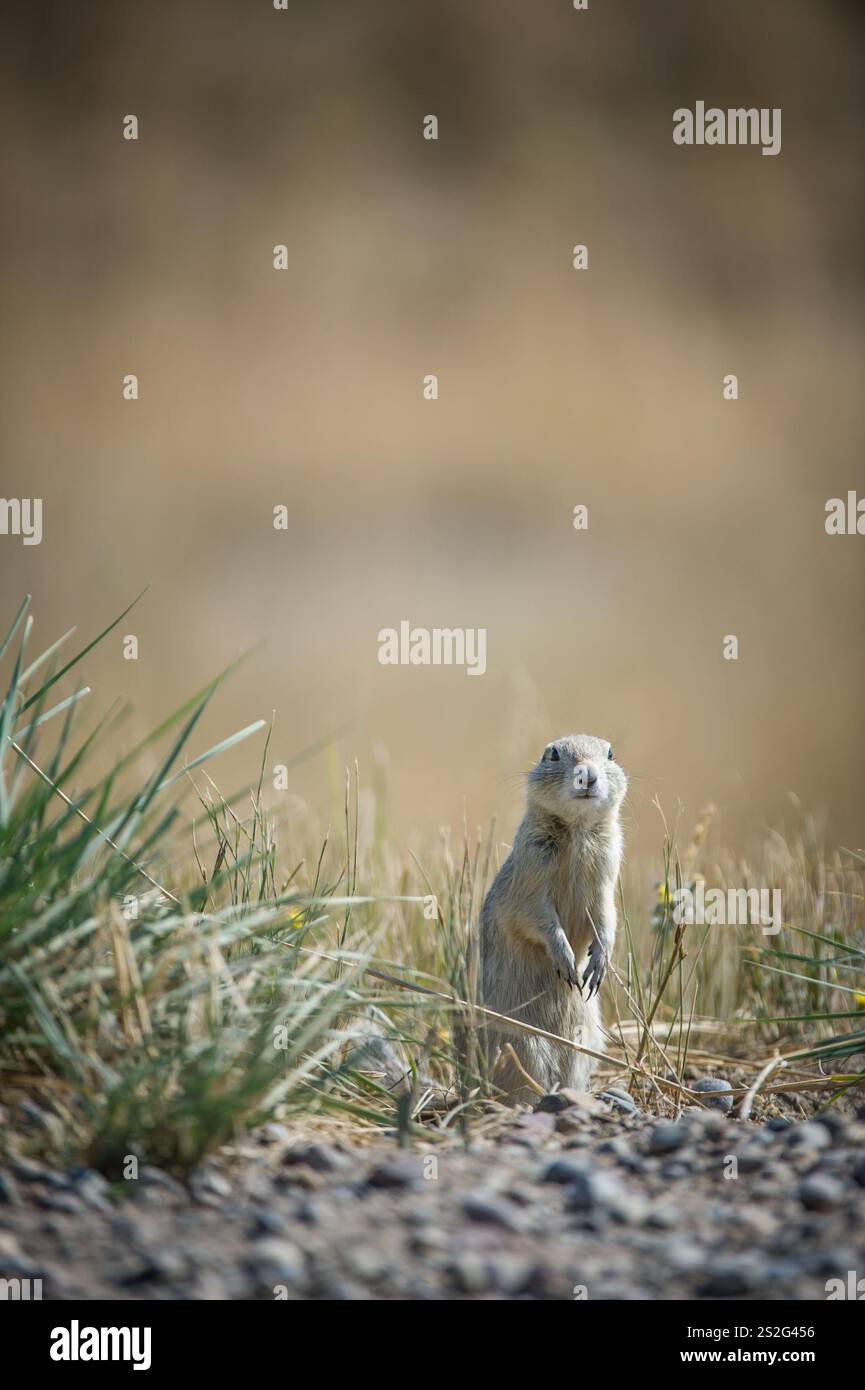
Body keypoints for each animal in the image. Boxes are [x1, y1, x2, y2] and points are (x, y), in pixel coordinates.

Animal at [481, 733, 631, 1100]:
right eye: (552, 754)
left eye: (610, 754)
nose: (587, 774)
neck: (577, 832)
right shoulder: (530, 881)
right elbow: (538, 919)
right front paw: (566, 962)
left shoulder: (605, 884)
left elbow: (606, 919)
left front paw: (597, 964)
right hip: (523, 1046)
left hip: (586, 1043)